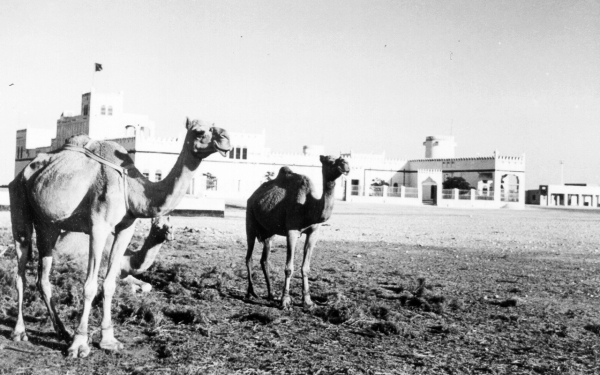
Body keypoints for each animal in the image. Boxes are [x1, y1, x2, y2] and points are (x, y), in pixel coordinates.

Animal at [9, 118, 230, 358]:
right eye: (199, 131)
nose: (226, 138)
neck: (132, 188)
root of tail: (21, 174)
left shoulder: (126, 227)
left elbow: (109, 284)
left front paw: (108, 340)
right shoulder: (98, 226)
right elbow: (89, 286)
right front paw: (80, 344)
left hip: (48, 224)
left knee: (43, 277)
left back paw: (63, 332)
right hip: (19, 202)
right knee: (21, 270)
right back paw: (21, 332)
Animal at [244, 156, 350, 312]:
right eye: (330, 160)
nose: (345, 164)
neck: (308, 206)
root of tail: (252, 196)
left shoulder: (313, 232)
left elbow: (305, 267)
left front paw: (308, 301)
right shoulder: (292, 231)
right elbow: (289, 268)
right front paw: (285, 301)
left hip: (269, 232)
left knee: (264, 260)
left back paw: (271, 295)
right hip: (250, 221)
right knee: (249, 257)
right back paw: (250, 293)